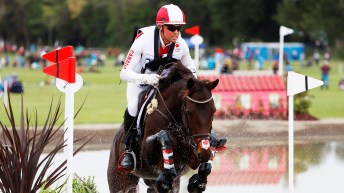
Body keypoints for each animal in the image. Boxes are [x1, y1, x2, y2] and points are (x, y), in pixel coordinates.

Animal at [108, 61, 220, 193]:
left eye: (214, 111)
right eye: (189, 112)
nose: (204, 152)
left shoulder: (192, 156)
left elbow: (205, 158)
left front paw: (198, 182)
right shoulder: (147, 150)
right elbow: (163, 135)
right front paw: (167, 176)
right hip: (120, 181)